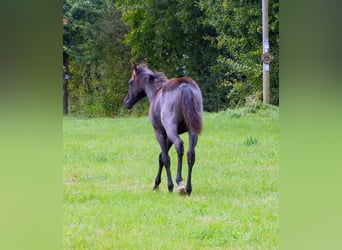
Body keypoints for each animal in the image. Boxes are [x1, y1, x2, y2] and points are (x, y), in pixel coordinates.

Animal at [123, 62, 202, 195]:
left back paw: (180, 183)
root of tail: (184, 85)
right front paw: (156, 184)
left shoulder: (160, 133)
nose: (126, 102)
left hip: (171, 129)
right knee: (190, 154)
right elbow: (161, 157)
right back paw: (188, 188)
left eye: (130, 82)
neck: (156, 93)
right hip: (192, 131)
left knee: (179, 145)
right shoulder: (167, 136)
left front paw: (168, 186)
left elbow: (165, 158)